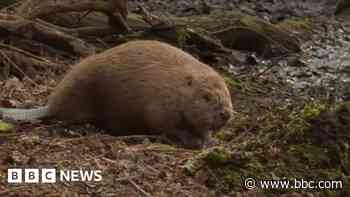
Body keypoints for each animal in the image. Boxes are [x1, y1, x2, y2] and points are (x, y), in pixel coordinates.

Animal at [2, 40, 235, 148]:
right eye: (206, 97)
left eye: (227, 92)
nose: (226, 114)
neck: (178, 85)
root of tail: (50, 105)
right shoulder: (161, 104)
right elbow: (165, 124)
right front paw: (192, 141)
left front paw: (208, 141)